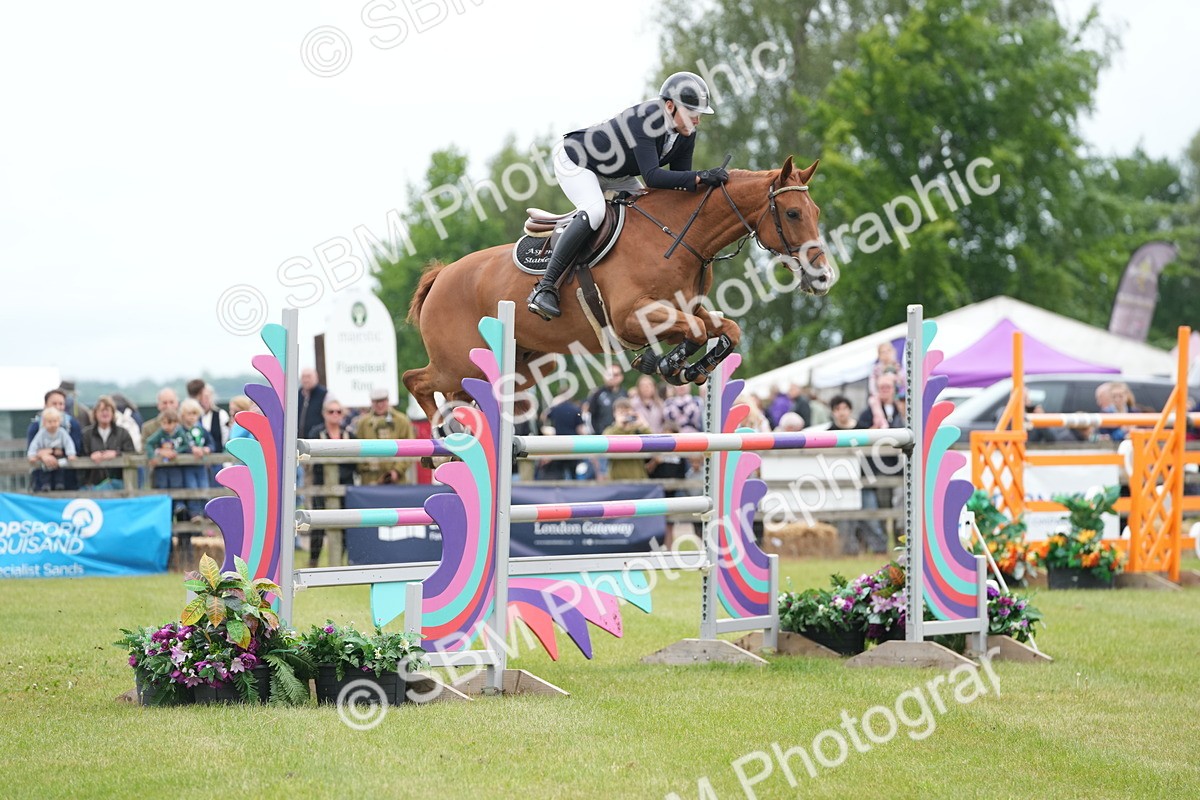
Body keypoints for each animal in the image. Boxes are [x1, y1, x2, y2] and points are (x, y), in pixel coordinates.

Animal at [403, 156, 831, 425]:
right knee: (416, 380)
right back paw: (444, 435)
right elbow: (695, 331)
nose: (824, 276)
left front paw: (687, 368)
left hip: (519, 367)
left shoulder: (685, 308)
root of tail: (441, 276)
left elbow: (725, 330)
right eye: (793, 213)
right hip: (458, 364)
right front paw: (667, 364)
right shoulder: (630, 318)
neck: (676, 235)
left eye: (816, 213)